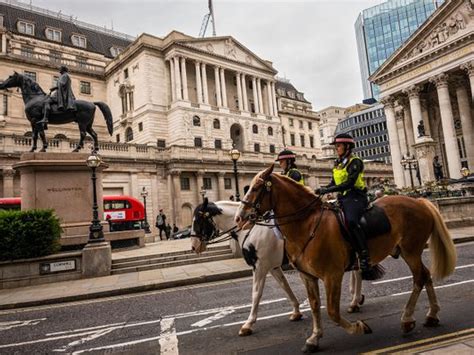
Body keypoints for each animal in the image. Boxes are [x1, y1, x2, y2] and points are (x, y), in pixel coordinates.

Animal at [235, 166, 458, 354]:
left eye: (256, 188)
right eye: (248, 187)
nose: (239, 217)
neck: (306, 225)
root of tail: (420, 201)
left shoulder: (331, 275)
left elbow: (332, 311)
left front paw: (359, 327)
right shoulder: (304, 275)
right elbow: (314, 305)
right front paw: (313, 338)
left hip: (410, 251)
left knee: (419, 278)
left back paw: (406, 318)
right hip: (407, 251)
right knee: (425, 275)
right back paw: (431, 315)